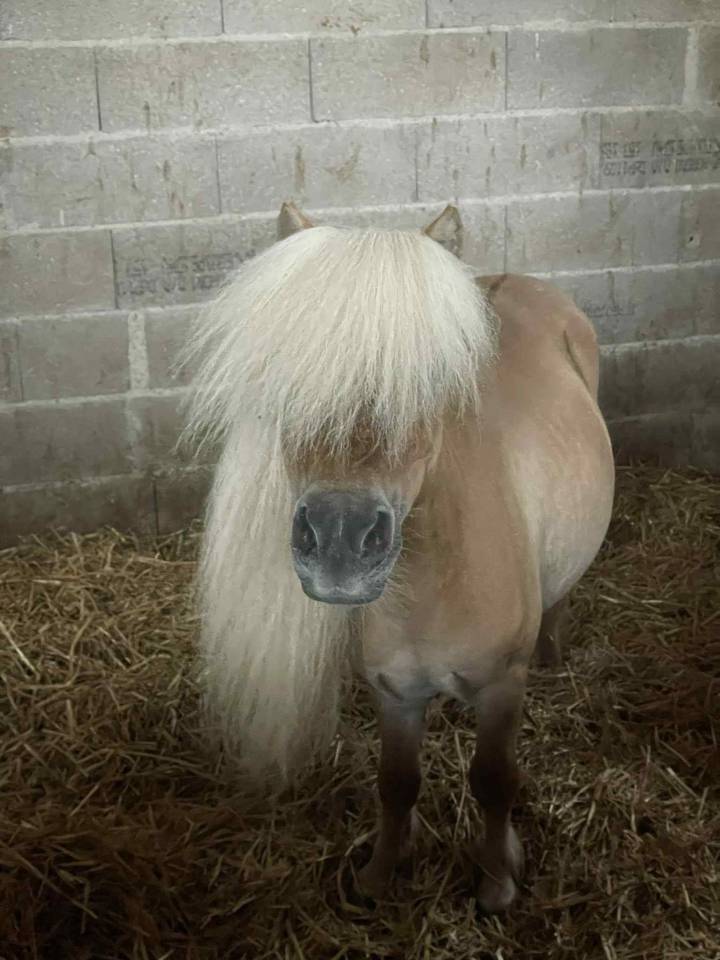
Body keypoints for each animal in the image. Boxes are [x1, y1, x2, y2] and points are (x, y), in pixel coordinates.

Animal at [183, 201, 615, 913]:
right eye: (291, 383)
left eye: (426, 386)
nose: (339, 540)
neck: (431, 586)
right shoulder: (395, 692)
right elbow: (397, 782)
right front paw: (380, 875)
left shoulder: (502, 686)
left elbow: (494, 780)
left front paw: (497, 881)